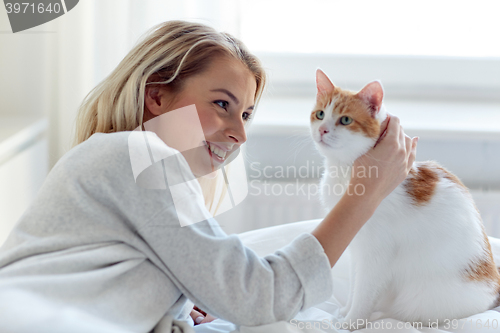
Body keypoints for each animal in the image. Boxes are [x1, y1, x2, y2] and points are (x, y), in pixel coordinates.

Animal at [312, 68, 500, 328]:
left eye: (345, 120)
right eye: (320, 114)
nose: (322, 130)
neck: (345, 171)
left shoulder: (376, 254)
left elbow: (364, 291)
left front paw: (352, 322)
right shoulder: (355, 245)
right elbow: (353, 286)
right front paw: (346, 311)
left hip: (420, 300)